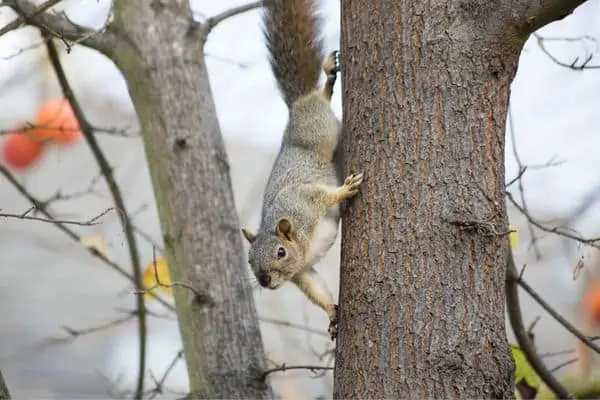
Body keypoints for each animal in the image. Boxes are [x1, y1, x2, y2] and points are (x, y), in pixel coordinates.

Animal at [240, 0, 364, 340]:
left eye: (281, 252)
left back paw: (327, 79)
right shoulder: (302, 272)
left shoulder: (304, 202)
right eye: (250, 260)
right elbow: (317, 289)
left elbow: (323, 196)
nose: (266, 281)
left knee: (319, 100)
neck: (301, 243)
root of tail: (295, 106)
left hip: (320, 131)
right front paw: (333, 314)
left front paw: (345, 190)